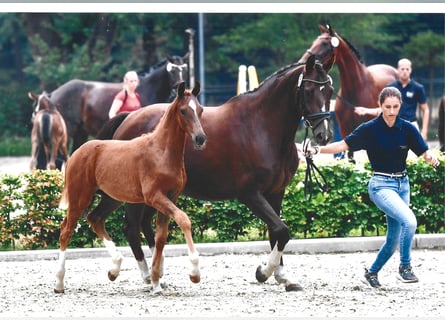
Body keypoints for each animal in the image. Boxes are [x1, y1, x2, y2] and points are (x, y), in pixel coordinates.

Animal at [53, 81, 205, 294]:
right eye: (183, 111)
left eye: (200, 110)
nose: (200, 138)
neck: (162, 152)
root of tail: (77, 152)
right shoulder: (154, 197)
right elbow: (184, 220)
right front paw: (194, 272)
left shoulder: (170, 197)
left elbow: (160, 236)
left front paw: (156, 281)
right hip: (80, 197)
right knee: (66, 231)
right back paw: (59, 282)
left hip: (112, 198)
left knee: (95, 218)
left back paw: (115, 268)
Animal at [94, 55, 332, 292]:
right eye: (309, 90)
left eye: (329, 89)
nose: (324, 135)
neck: (261, 128)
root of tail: (128, 118)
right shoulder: (251, 195)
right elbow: (282, 230)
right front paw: (264, 272)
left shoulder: (276, 192)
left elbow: (276, 231)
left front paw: (283, 276)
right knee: (131, 227)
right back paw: (146, 276)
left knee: (143, 224)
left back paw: (158, 272)